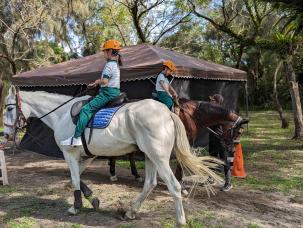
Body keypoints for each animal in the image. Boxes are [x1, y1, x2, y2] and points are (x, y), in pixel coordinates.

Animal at [2, 86, 223, 226]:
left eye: (10, 108)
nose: (5, 134)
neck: (62, 114)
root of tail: (167, 113)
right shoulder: (87, 155)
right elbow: (77, 178)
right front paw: (92, 199)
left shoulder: (70, 153)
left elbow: (74, 179)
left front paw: (76, 206)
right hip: (150, 156)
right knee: (150, 184)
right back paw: (130, 212)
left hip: (159, 158)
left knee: (174, 186)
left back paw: (180, 220)